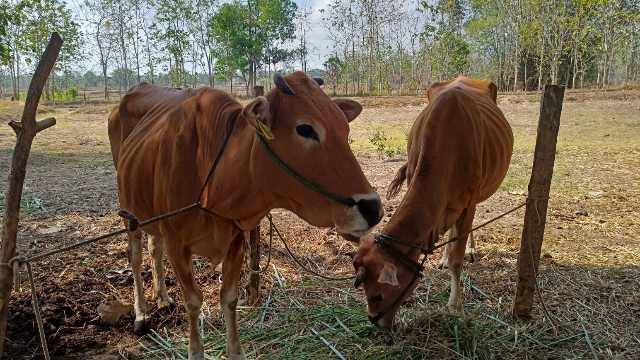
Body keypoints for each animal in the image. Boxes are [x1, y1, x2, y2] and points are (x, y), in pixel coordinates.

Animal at [107, 71, 382, 358]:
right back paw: (141, 313)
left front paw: (236, 351)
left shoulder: (235, 241)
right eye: (305, 129)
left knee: (154, 248)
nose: (373, 208)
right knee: (135, 257)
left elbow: (229, 298)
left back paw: (162, 297)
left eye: (345, 128)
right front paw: (195, 351)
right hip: (129, 213)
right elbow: (193, 301)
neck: (213, 176)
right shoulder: (177, 245)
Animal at [348, 76, 512, 330]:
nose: (374, 321)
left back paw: (469, 250)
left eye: (377, 295)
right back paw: (443, 257)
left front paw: (456, 308)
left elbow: (457, 260)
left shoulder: (469, 203)